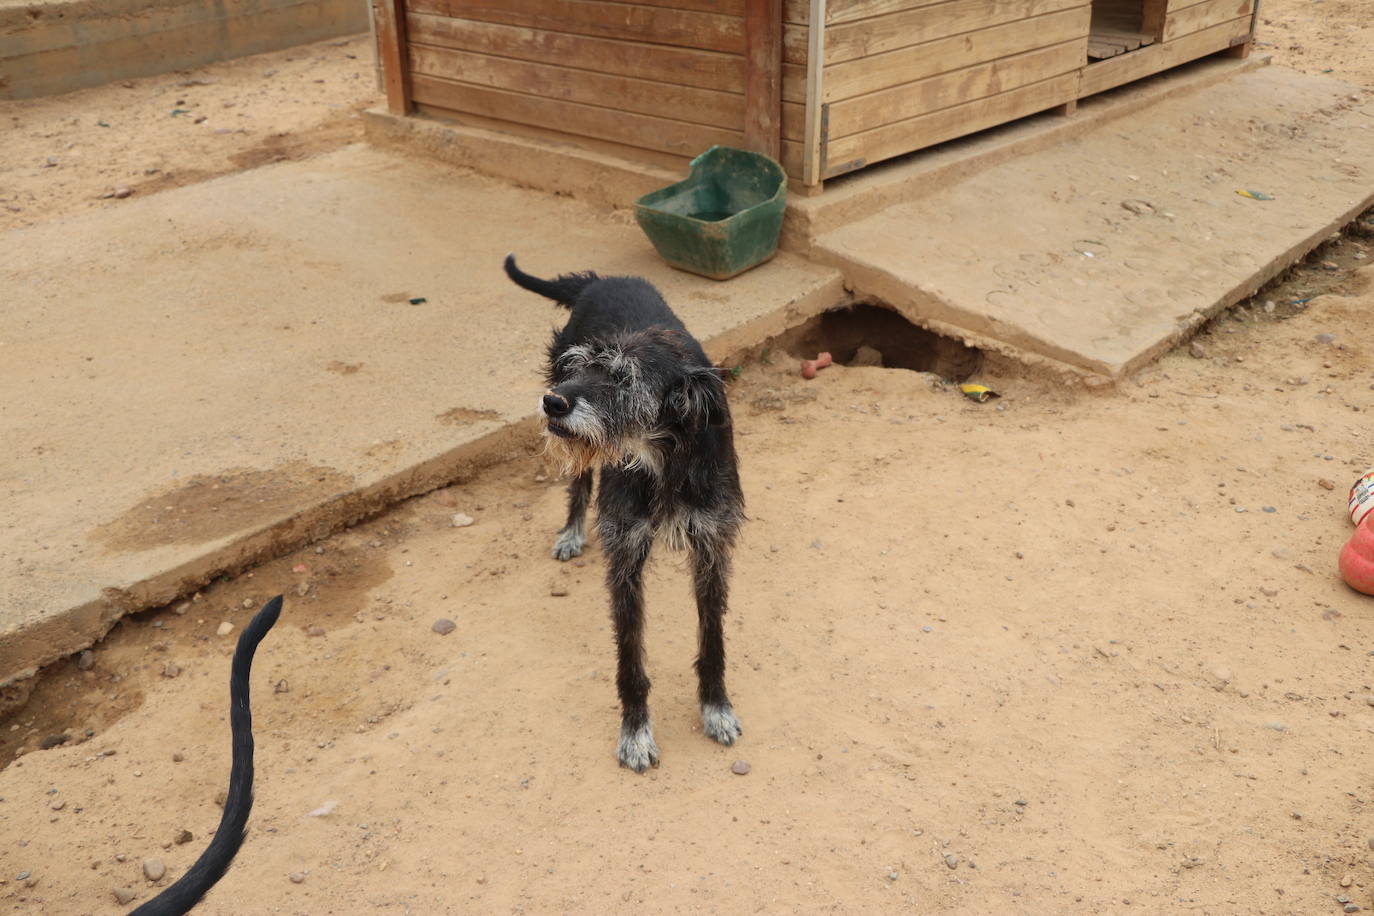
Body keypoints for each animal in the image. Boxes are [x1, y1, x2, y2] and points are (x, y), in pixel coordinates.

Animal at [502, 252, 741, 774]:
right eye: (582, 366)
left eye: (623, 378)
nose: (552, 402)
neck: (665, 457)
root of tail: (600, 279)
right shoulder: (626, 557)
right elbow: (631, 659)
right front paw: (635, 734)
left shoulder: (711, 547)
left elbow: (712, 640)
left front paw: (716, 708)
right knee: (578, 481)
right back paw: (571, 532)